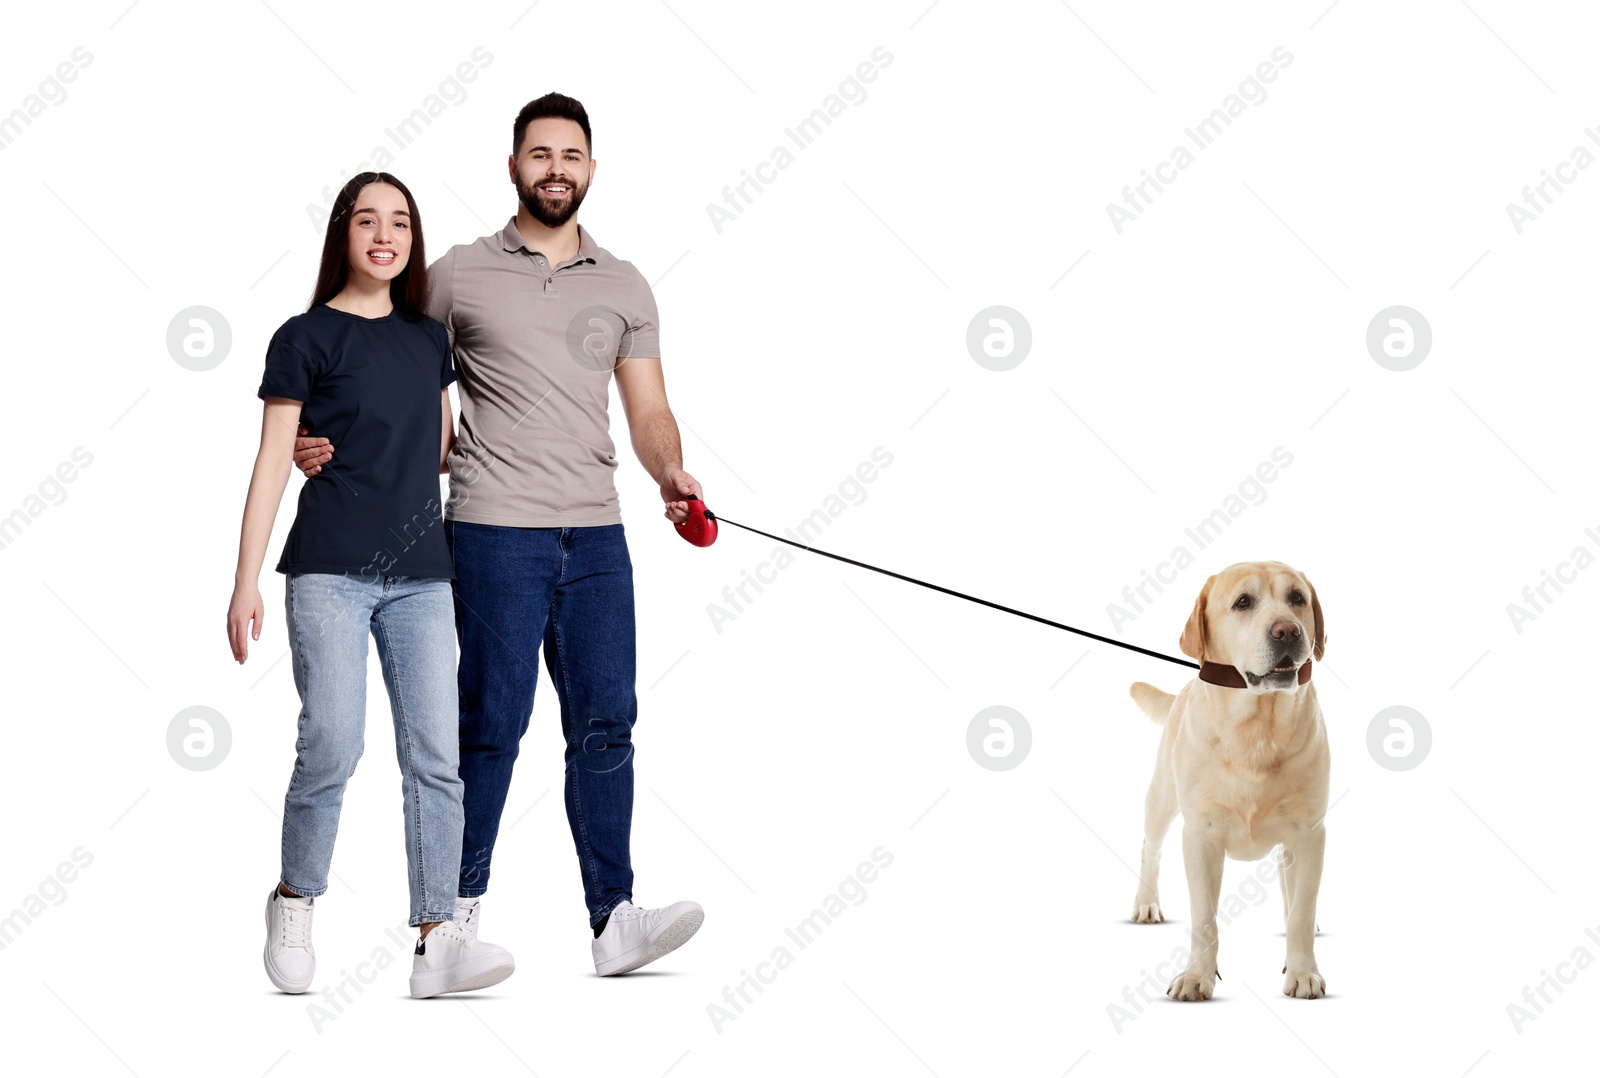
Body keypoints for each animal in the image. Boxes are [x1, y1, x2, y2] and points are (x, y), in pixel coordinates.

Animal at [1126, 562, 1324, 998]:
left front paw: (1303, 971)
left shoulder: (1309, 833)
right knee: (1150, 847)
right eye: (1243, 602)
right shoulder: (1201, 835)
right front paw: (1196, 976)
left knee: (1290, 886)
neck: (1258, 726)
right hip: (1162, 797)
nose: (1288, 631)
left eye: (1297, 598)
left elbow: (1301, 912)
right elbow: (1203, 917)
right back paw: (1145, 903)